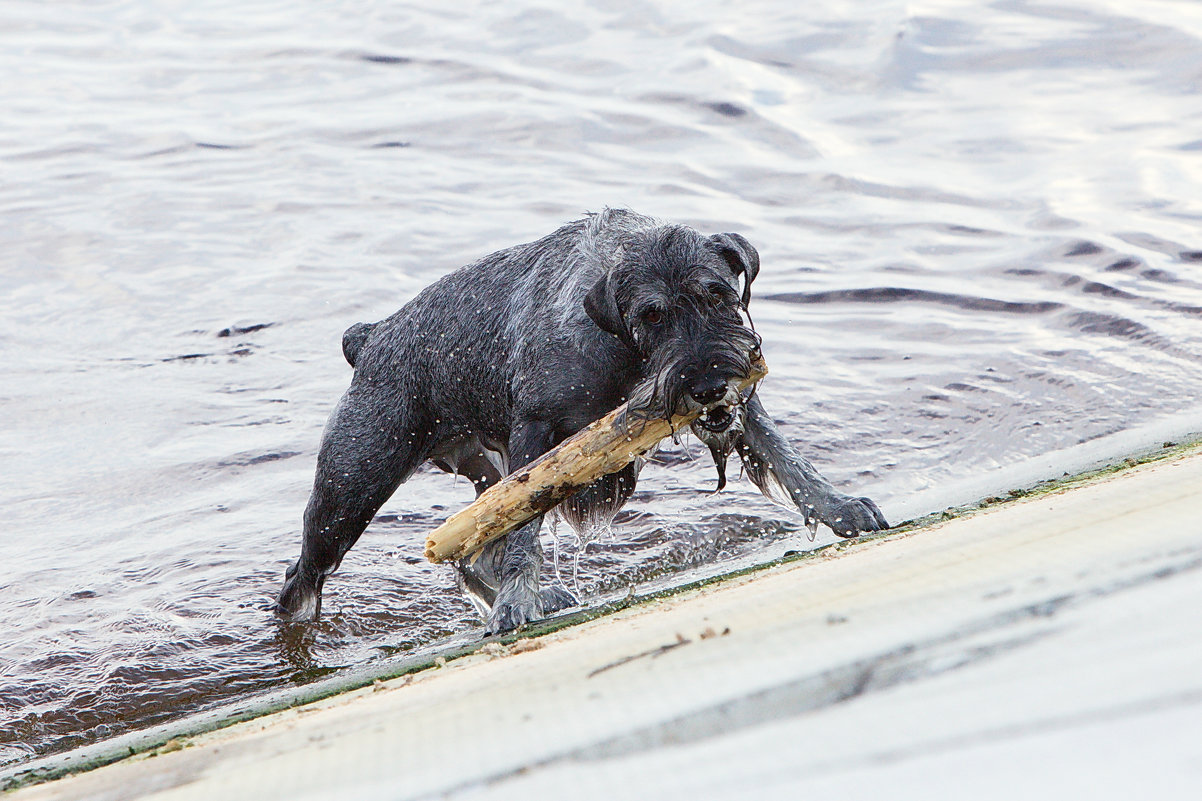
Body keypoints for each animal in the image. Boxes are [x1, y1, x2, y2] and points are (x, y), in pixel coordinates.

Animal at [276, 209, 889, 635]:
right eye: (652, 315)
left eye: (717, 294)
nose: (707, 384)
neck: (620, 344)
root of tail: (370, 337)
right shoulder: (535, 434)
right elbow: (524, 530)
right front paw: (518, 602)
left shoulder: (742, 399)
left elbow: (787, 458)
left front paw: (842, 508)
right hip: (350, 491)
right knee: (303, 578)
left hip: (479, 472)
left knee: (473, 552)